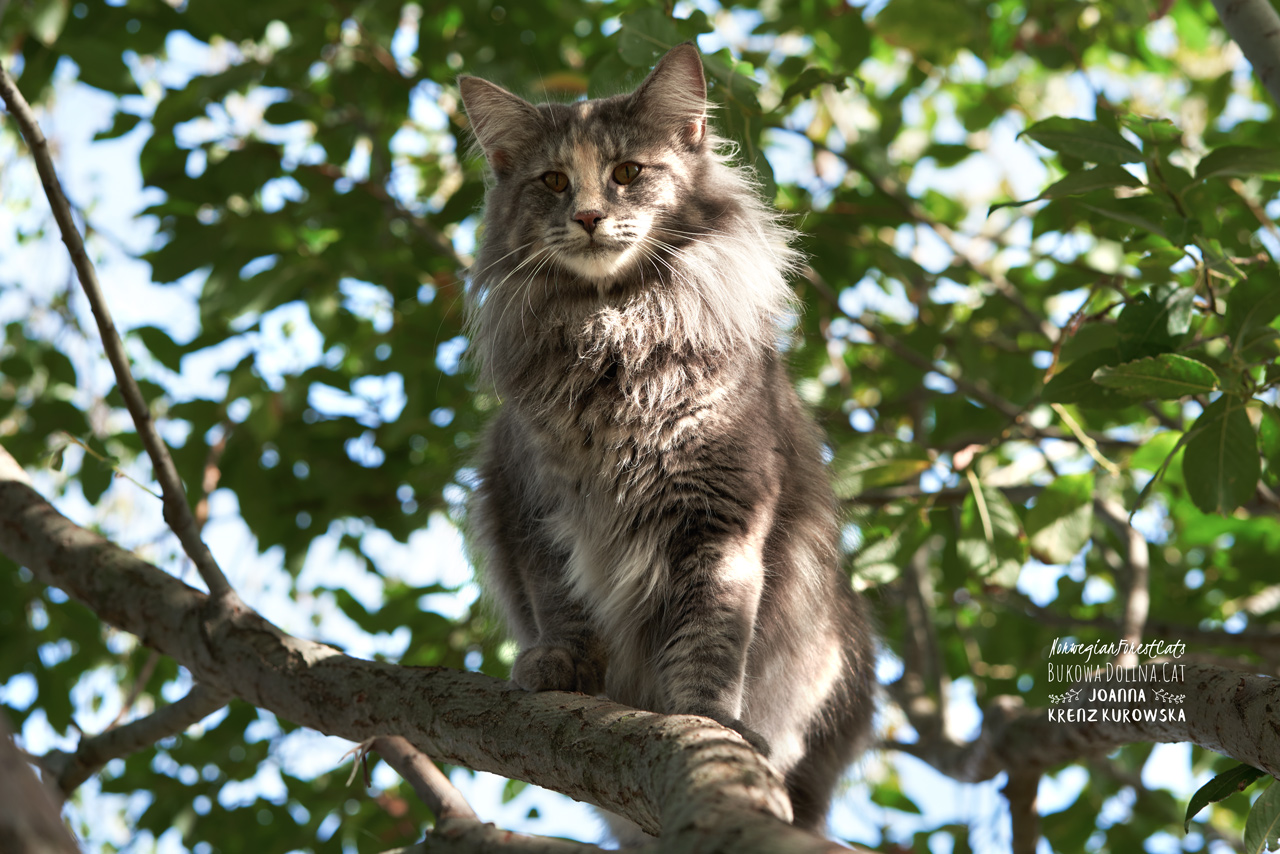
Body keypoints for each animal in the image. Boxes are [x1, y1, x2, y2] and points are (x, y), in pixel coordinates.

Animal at [459, 43, 876, 836]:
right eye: (552, 182)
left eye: (627, 172)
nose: (590, 216)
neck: (614, 332)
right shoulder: (533, 504)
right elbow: (563, 604)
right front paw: (559, 668)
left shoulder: (719, 521)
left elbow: (709, 637)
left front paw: (707, 719)